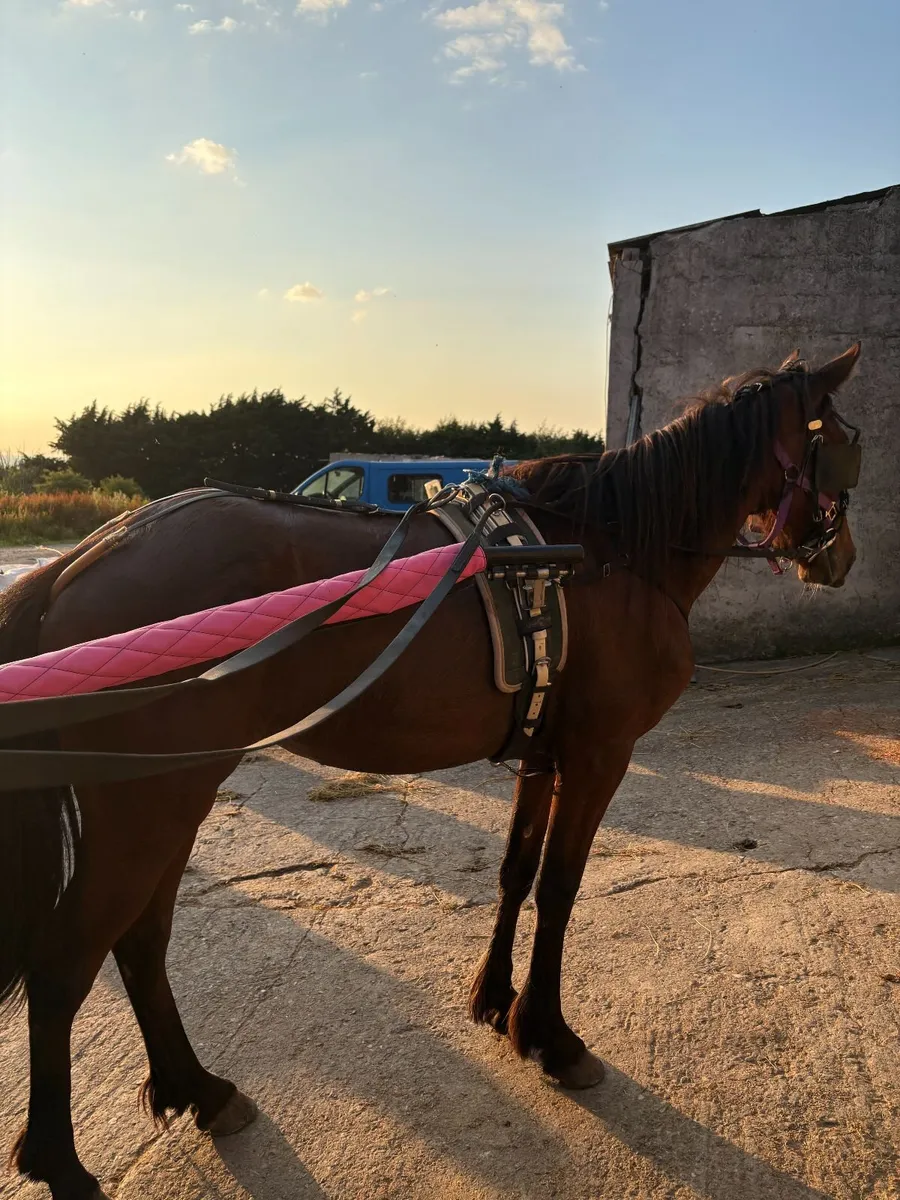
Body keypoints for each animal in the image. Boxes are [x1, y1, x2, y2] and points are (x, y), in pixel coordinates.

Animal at [0, 345, 862, 1200]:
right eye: (848, 445)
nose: (842, 558)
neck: (606, 551)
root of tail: (78, 560)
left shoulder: (542, 753)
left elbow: (517, 872)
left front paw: (497, 1000)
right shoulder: (598, 755)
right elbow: (560, 888)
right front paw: (549, 1037)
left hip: (174, 796)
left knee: (141, 942)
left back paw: (199, 1090)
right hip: (150, 804)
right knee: (66, 964)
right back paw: (63, 1163)